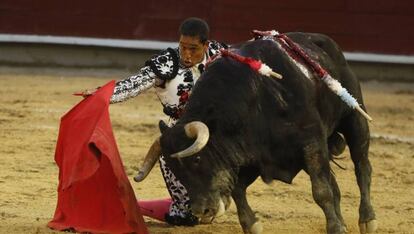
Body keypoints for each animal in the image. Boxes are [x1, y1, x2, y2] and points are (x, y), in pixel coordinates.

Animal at [137, 32, 376, 233]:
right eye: (175, 169)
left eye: (196, 160)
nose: (201, 211)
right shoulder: (248, 155)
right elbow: (237, 190)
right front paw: (252, 225)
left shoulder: (312, 142)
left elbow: (322, 191)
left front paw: (336, 228)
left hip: (355, 119)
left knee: (362, 167)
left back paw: (367, 220)